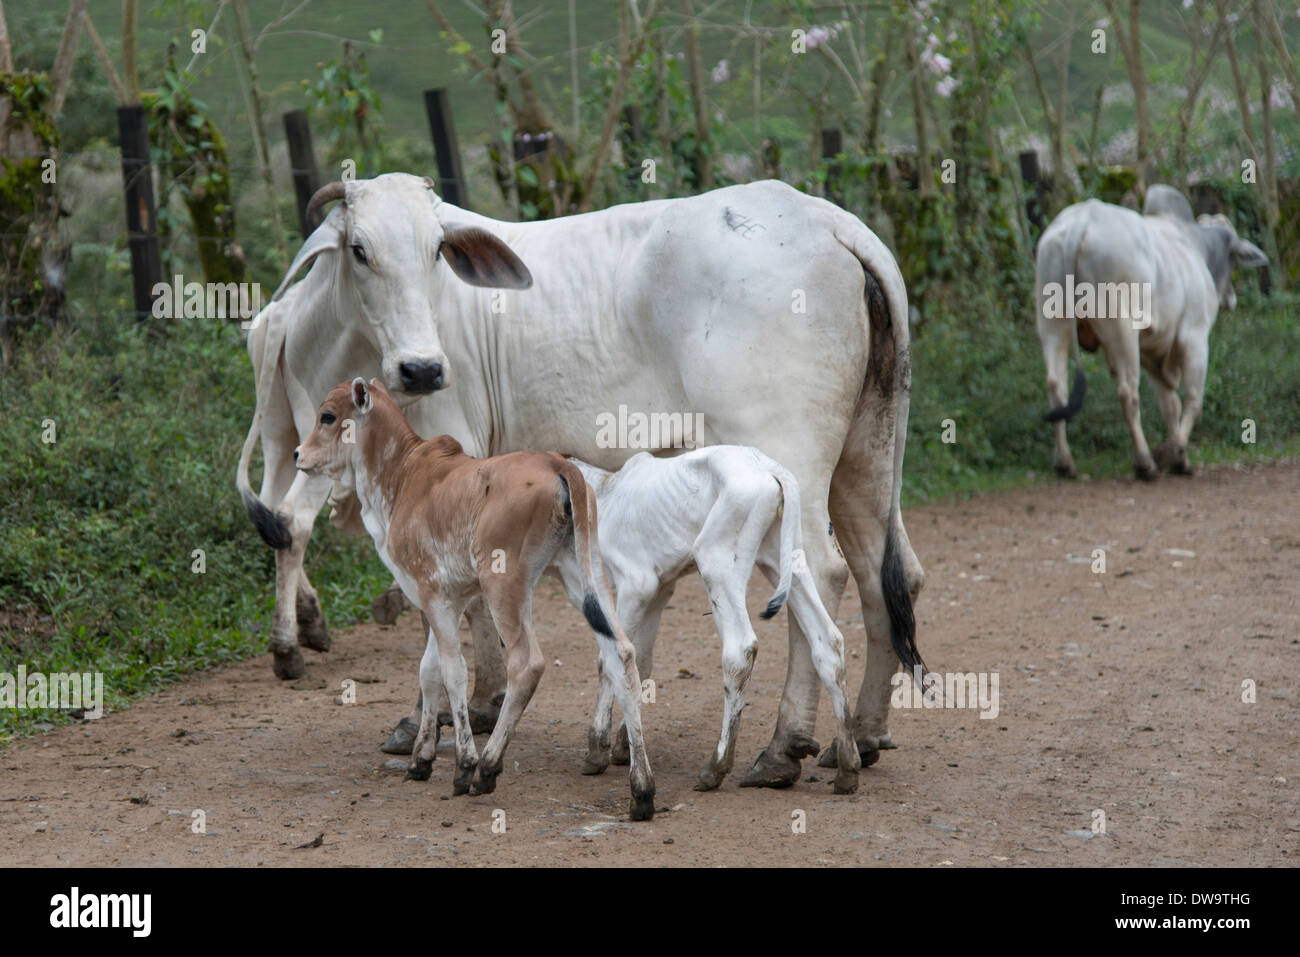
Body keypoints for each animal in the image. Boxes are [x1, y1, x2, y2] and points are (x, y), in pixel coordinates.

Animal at [297, 377, 655, 816]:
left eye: (328, 416)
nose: (298, 454)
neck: (402, 475)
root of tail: (559, 464)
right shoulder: (446, 599)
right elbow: (429, 670)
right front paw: (420, 759)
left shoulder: (433, 593)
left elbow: (453, 673)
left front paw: (462, 764)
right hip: (583, 576)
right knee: (620, 652)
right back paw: (641, 790)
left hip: (506, 585)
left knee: (527, 664)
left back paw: (487, 767)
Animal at [1034, 184, 1268, 478]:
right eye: (1234, 258)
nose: (1231, 299)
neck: (1195, 244)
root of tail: (1080, 221)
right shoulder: (1194, 337)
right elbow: (1193, 400)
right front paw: (1176, 455)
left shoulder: (1152, 351)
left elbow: (1170, 405)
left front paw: (1176, 453)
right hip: (1121, 329)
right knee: (1128, 393)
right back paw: (1144, 462)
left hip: (1052, 326)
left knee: (1057, 387)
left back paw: (1064, 462)